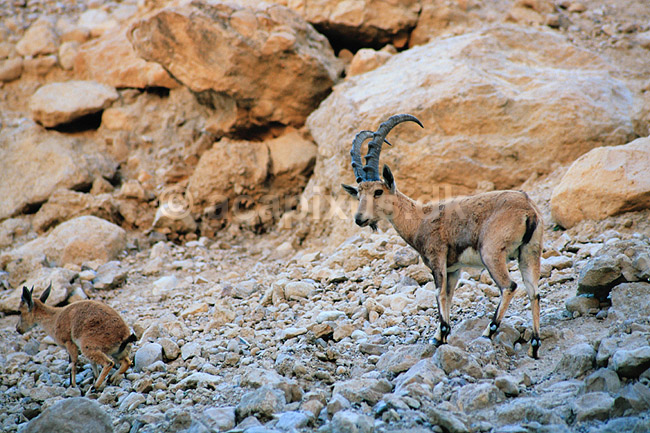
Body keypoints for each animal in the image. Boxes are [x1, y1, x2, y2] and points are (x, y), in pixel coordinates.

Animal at [341, 114, 543, 358]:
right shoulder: (453, 268)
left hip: (491, 253)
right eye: (358, 194)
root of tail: (528, 210)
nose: (359, 218)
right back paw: (534, 345)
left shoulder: (437, 259)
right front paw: (442, 334)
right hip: (530, 252)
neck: (419, 219)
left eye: (378, 191)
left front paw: (440, 336)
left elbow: (440, 294)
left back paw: (489, 331)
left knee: (509, 286)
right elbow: (449, 294)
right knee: (534, 292)